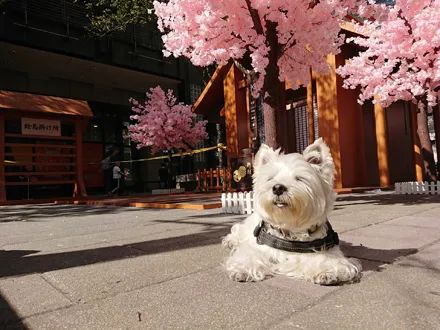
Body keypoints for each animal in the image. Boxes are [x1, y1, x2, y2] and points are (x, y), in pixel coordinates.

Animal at [223, 138, 360, 284]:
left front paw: (327, 272)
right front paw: (242, 270)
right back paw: (229, 242)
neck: (289, 228)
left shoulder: (323, 249)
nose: (278, 188)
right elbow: (249, 254)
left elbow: (327, 259)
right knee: (237, 231)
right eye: (270, 178)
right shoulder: (256, 246)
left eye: (299, 178)